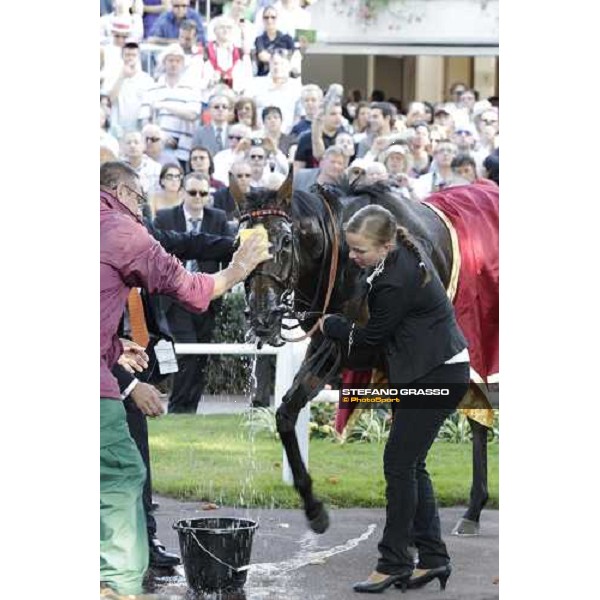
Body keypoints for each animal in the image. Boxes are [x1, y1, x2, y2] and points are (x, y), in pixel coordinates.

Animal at [234, 172, 496, 536]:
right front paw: (314, 507)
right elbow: (286, 412)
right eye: (238, 243)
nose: (262, 316)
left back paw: (473, 509)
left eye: (285, 240)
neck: (343, 257)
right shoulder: (331, 345)